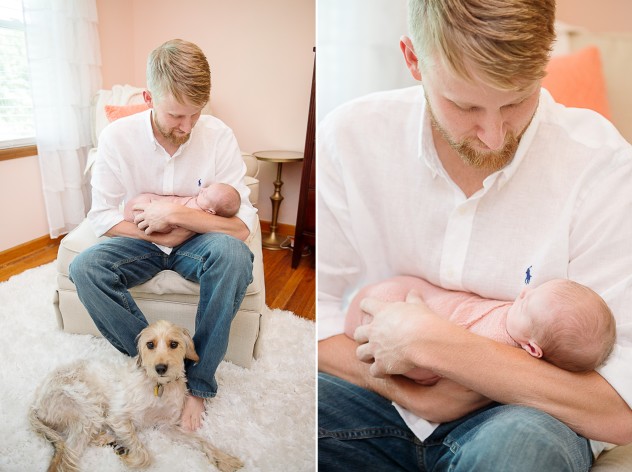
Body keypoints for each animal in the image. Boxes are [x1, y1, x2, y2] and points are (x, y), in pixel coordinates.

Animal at [29, 318, 243, 470]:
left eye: (174, 344)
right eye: (150, 344)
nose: (160, 368)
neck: (158, 387)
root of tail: (36, 403)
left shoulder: (166, 426)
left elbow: (200, 441)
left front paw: (225, 459)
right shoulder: (118, 417)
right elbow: (144, 455)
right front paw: (130, 458)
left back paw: (107, 440)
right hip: (87, 408)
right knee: (68, 456)